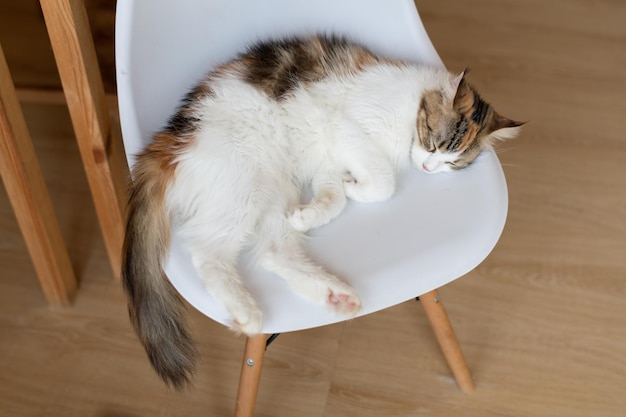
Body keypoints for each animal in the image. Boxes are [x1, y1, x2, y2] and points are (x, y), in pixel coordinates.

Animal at [120, 33, 520, 386]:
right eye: (434, 143)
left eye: (453, 163)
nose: (427, 168)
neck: (409, 110)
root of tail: (168, 143)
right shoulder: (342, 124)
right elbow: (384, 181)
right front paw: (359, 185)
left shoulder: (329, 154)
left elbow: (334, 196)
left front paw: (321, 206)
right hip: (246, 182)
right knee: (208, 253)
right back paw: (246, 312)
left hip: (274, 189)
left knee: (273, 251)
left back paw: (333, 292)